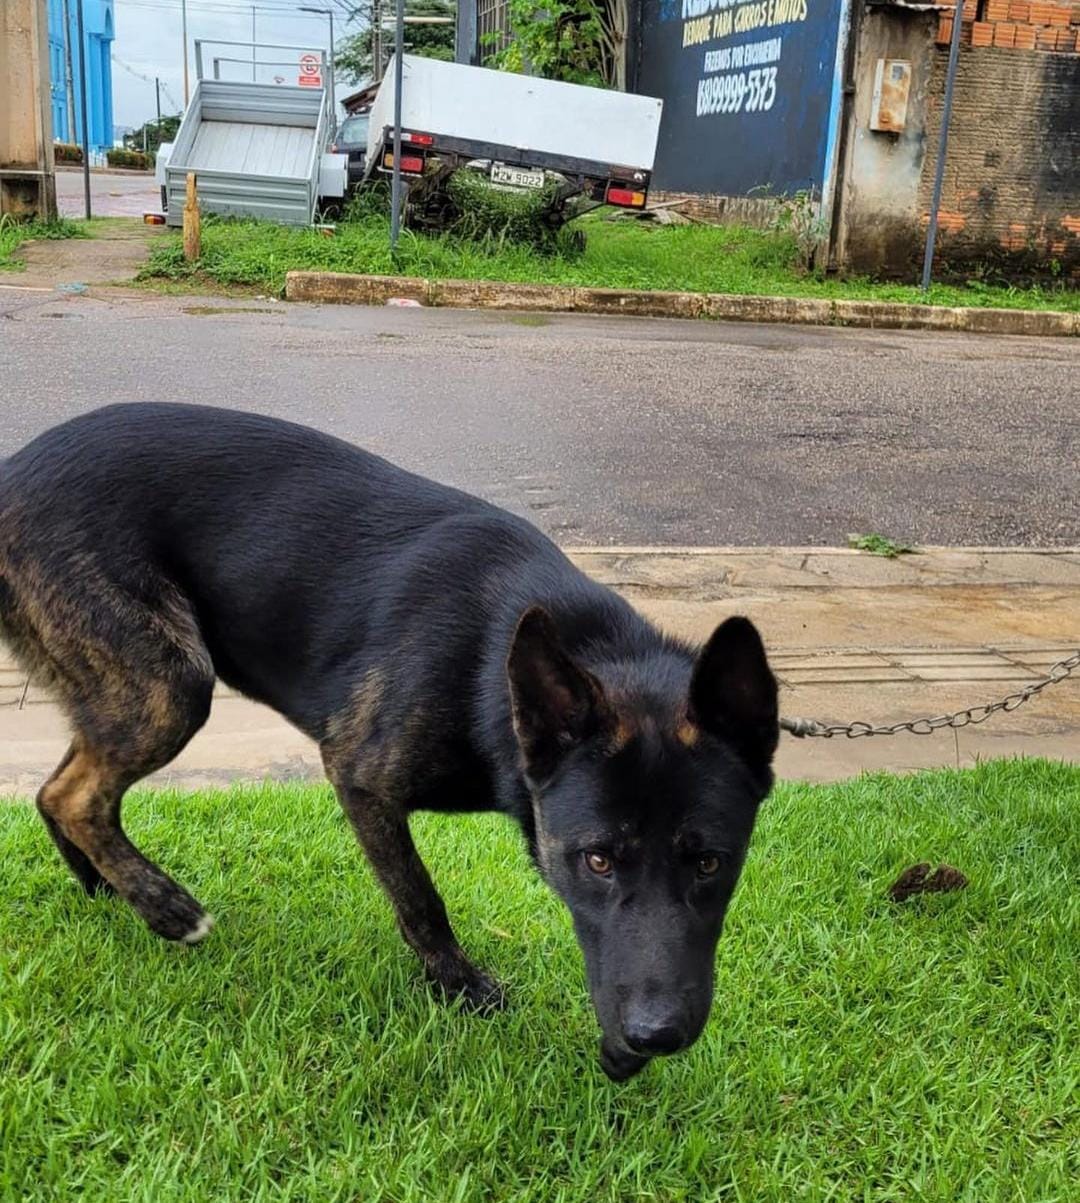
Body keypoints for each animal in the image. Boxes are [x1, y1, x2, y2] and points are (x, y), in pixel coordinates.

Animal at [0, 404, 774, 1082]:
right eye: (598, 859)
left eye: (711, 862)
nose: (657, 1035)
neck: (493, 667)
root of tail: (11, 475)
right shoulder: (361, 774)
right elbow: (420, 895)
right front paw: (458, 986)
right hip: (171, 687)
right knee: (73, 794)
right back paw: (166, 908)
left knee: (60, 789)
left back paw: (107, 889)